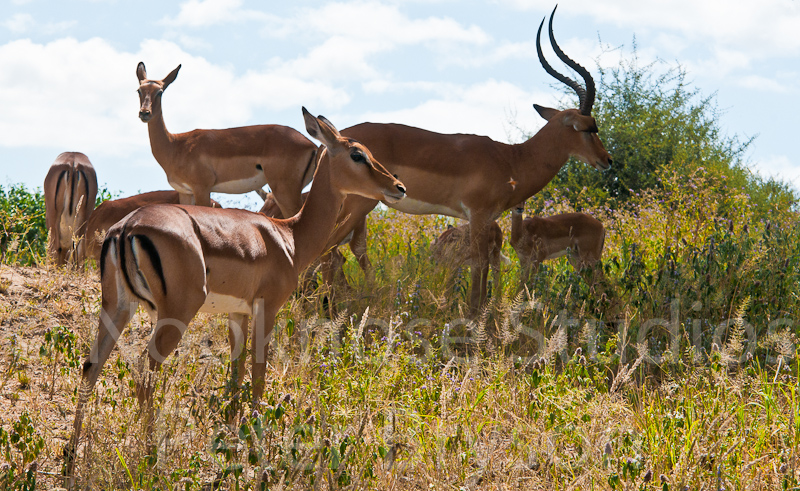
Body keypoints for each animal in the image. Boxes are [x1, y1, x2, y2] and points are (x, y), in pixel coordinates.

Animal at [136, 62, 317, 215]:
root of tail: (312, 145)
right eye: (139, 90)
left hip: (285, 192)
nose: (144, 113)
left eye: (160, 92)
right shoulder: (185, 192)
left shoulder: (202, 189)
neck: (175, 145)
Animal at [332, 7, 611, 312]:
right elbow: (479, 271)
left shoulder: (487, 220)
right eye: (589, 127)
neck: (512, 159)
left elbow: (484, 273)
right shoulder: (477, 216)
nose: (607, 160)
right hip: (356, 206)